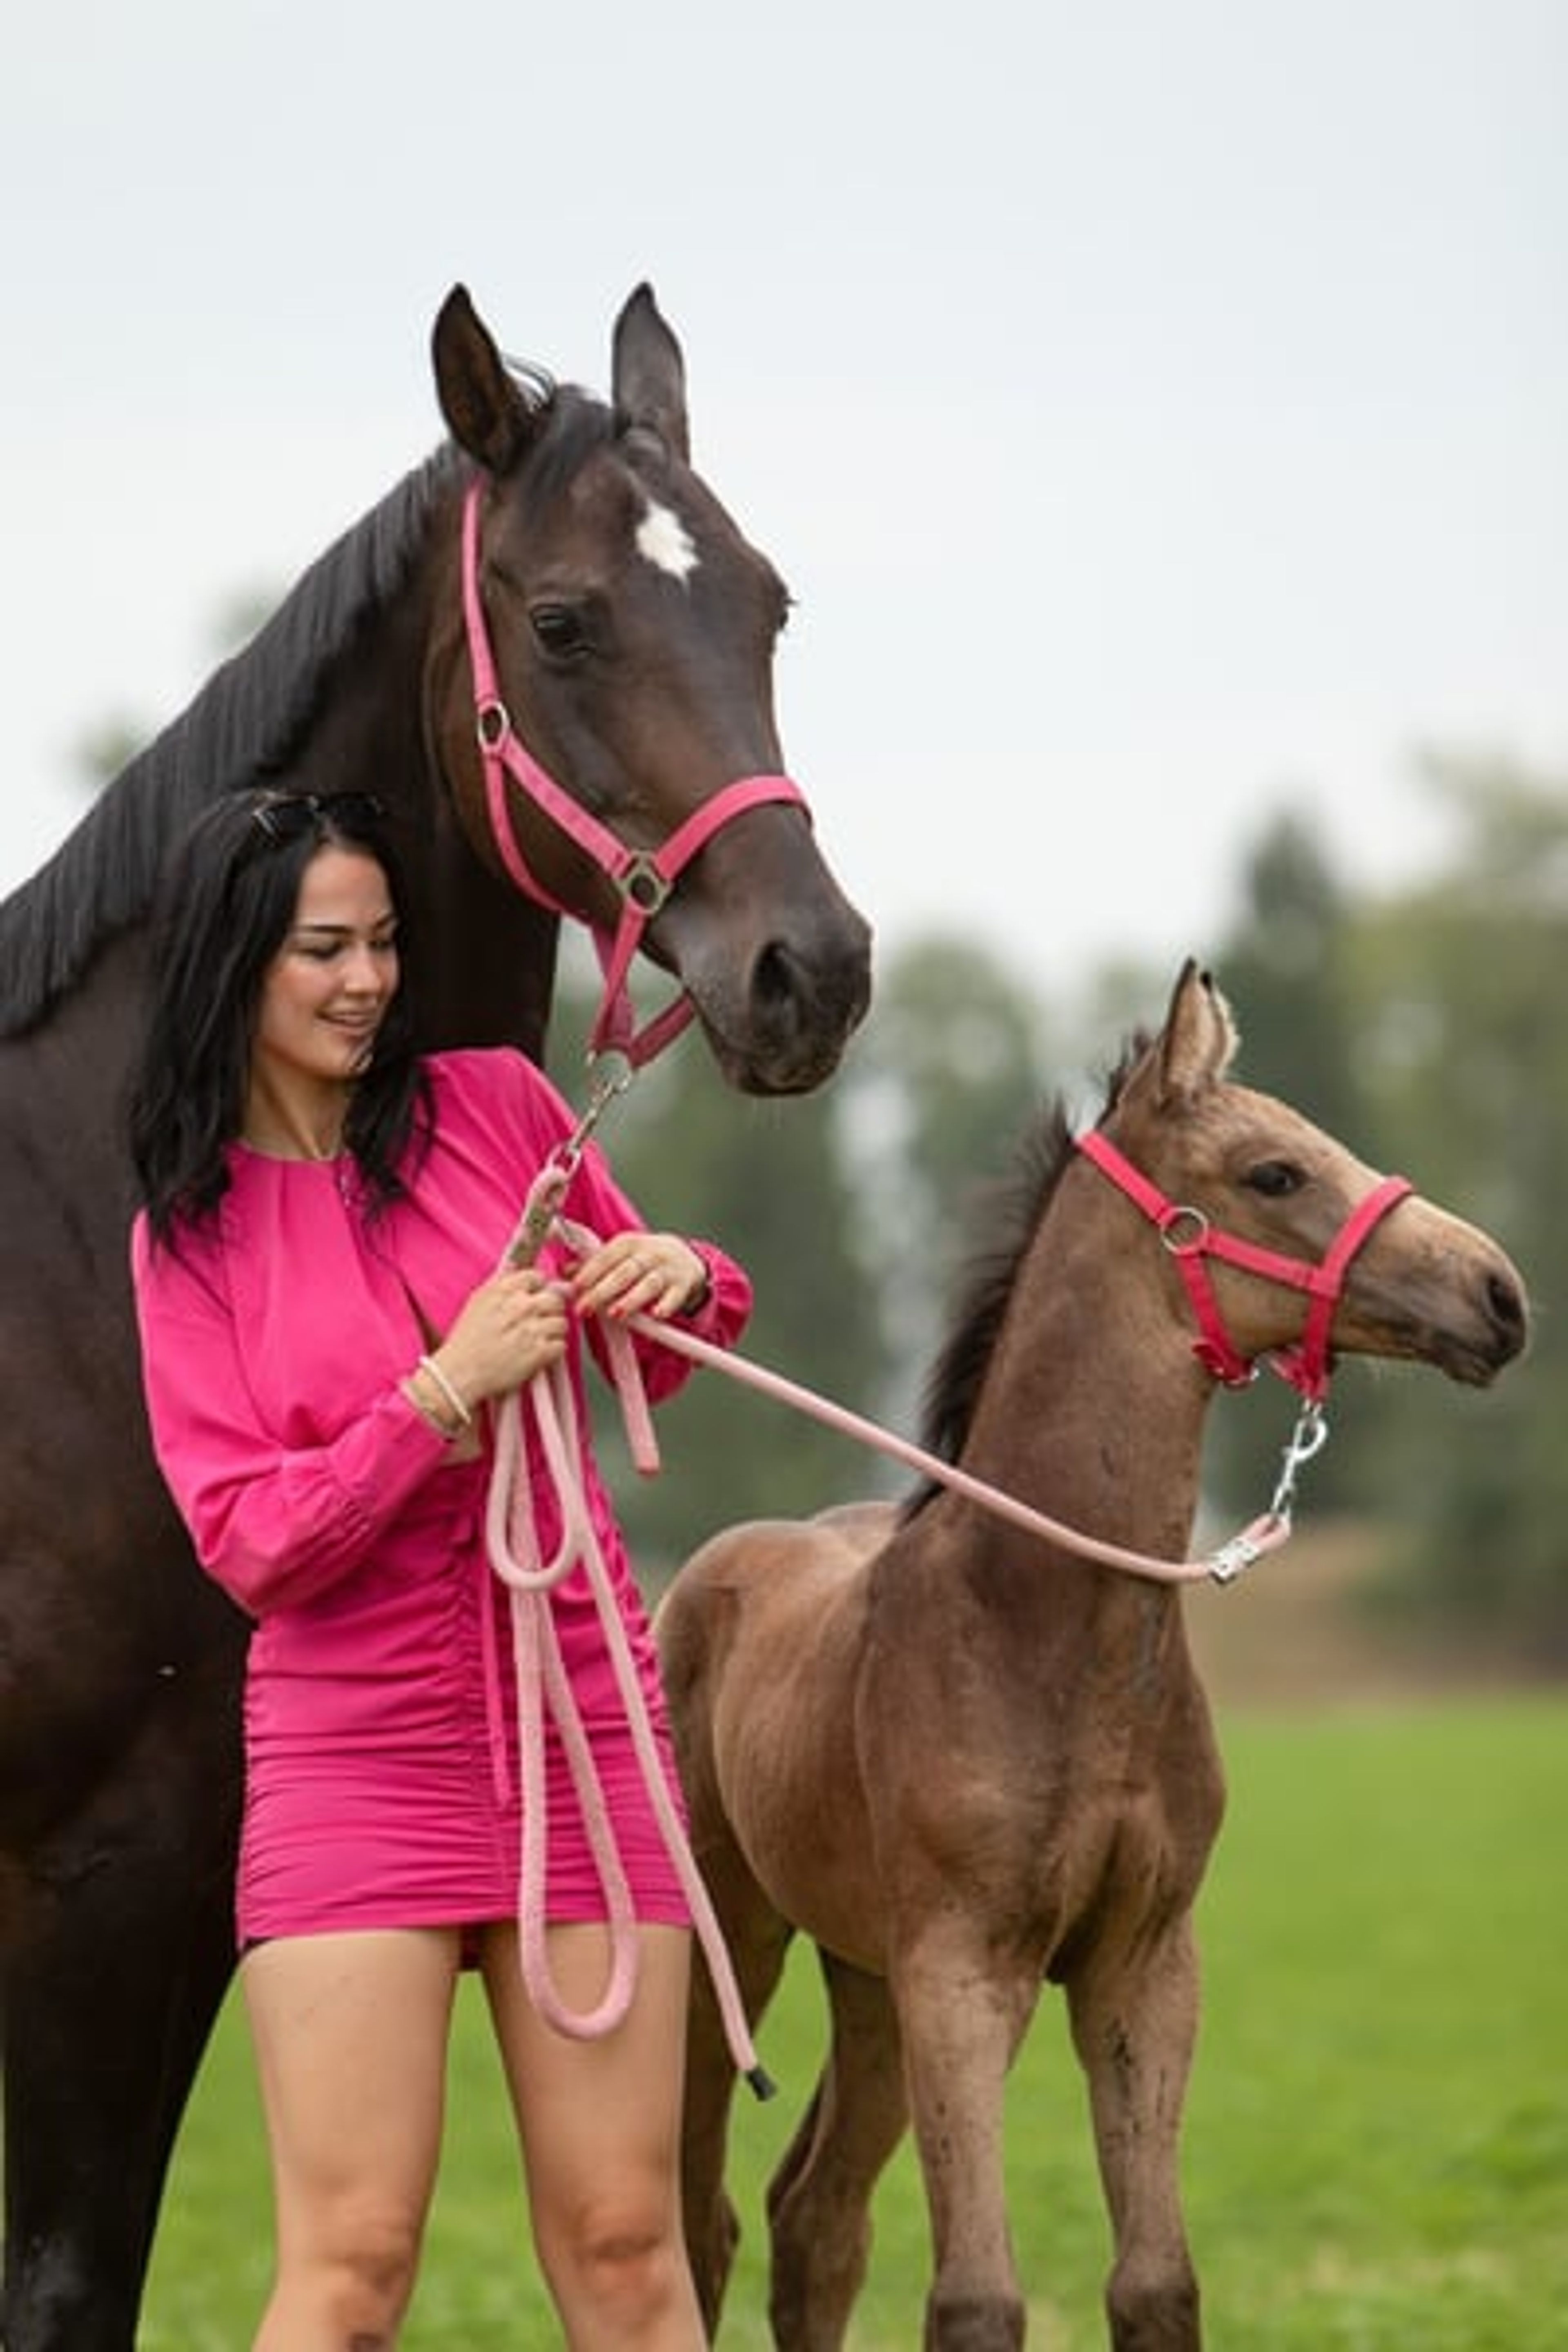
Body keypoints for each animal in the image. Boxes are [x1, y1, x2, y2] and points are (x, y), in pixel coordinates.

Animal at [656, 960, 1528, 2352]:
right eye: (1274, 1172)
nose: (1497, 1295)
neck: (1049, 1632)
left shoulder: (1141, 1965)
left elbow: (1155, 2280)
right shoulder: (965, 1969)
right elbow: (975, 2297)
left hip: (865, 1974)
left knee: (815, 2219)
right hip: (728, 1944)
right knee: (705, 2222)